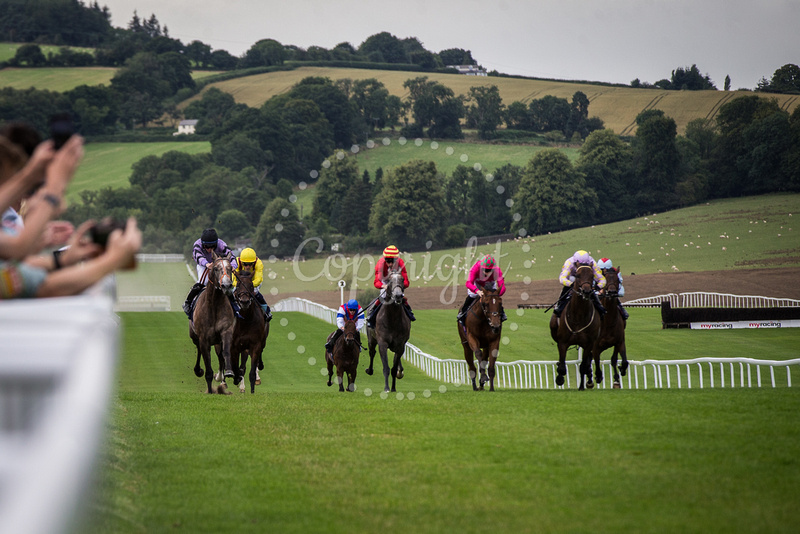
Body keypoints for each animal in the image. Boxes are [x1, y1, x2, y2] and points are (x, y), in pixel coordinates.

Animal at [190, 255, 234, 394]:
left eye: (230, 268)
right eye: (215, 268)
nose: (226, 285)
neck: (214, 305)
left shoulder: (226, 331)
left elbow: (226, 352)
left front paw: (228, 372)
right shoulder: (204, 338)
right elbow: (208, 366)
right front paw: (210, 391)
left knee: (220, 355)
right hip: (194, 336)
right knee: (199, 349)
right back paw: (198, 370)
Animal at [552, 262, 600, 392]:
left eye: (592, 276)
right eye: (577, 275)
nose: (586, 291)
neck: (578, 316)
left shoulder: (589, 343)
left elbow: (583, 366)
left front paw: (582, 386)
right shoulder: (562, 342)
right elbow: (562, 365)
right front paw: (559, 379)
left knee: (587, 362)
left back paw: (589, 381)